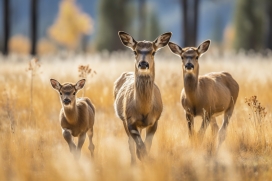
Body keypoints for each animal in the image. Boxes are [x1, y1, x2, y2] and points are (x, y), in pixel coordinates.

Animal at [115, 31, 172, 164]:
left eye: (153, 52)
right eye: (135, 51)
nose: (143, 64)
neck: (144, 110)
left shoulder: (155, 121)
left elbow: (147, 146)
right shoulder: (129, 120)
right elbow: (139, 147)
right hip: (123, 120)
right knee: (130, 144)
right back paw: (133, 163)